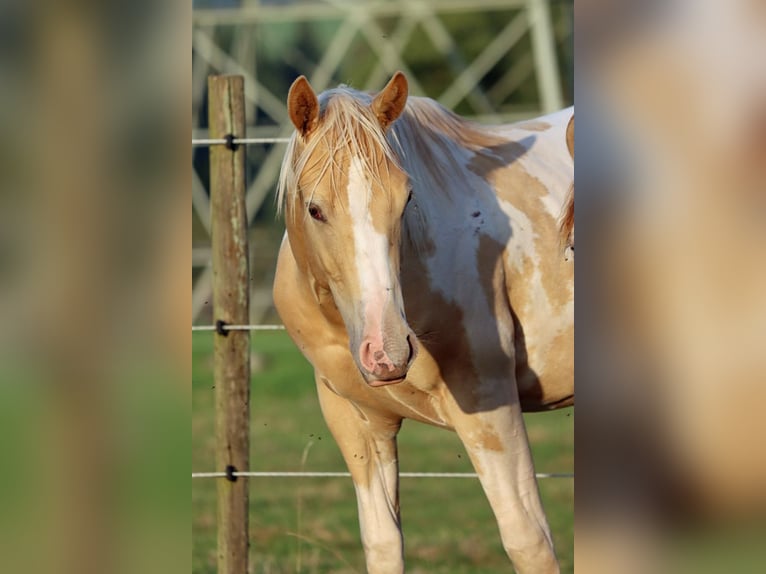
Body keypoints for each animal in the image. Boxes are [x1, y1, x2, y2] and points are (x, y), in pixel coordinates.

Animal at [273, 71, 573, 574]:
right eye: (315, 209)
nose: (388, 353)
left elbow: (528, 541)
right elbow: (383, 543)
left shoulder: (490, 410)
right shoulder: (358, 423)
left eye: (406, 199)